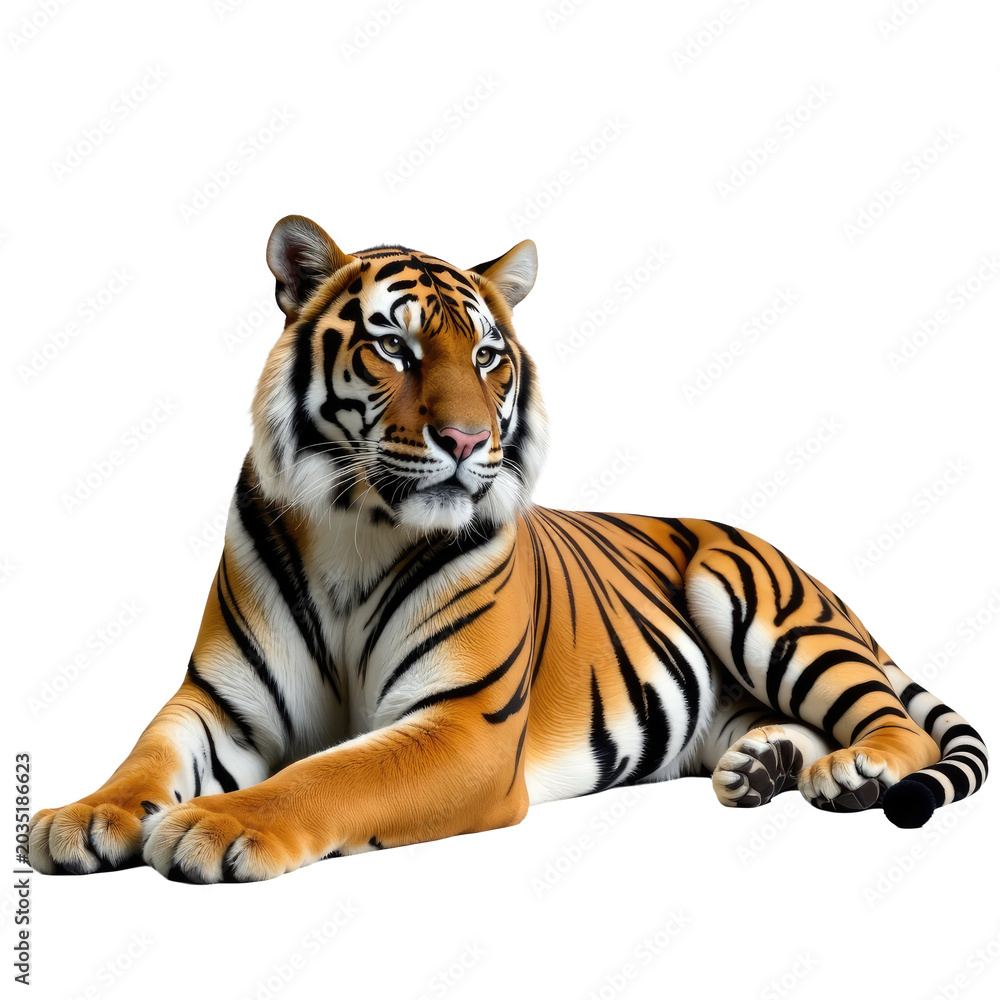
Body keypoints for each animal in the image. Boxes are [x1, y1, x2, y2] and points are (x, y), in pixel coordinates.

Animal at [28, 215, 988, 883]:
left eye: (489, 356)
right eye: (394, 345)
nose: (465, 439)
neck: (354, 525)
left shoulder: (465, 724)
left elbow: (329, 775)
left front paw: (213, 825)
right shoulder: (219, 702)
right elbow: (147, 755)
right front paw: (81, 818)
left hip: (753, 598)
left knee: (896, 722)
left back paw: (854, 771)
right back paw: (765, 765)